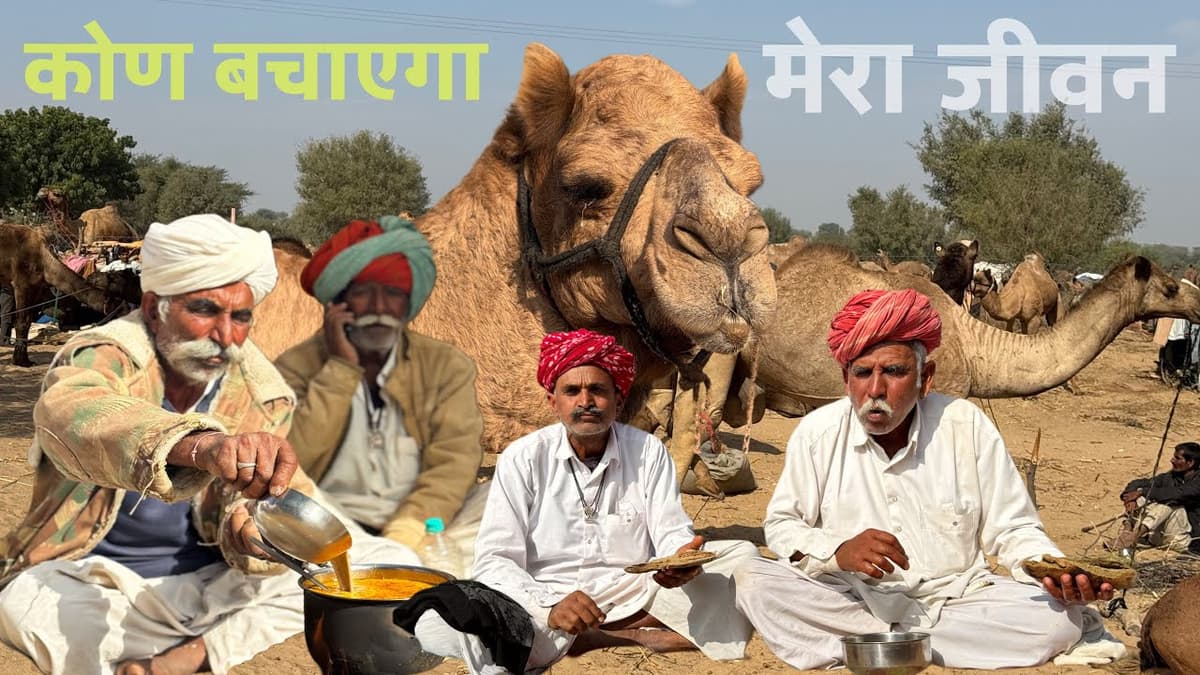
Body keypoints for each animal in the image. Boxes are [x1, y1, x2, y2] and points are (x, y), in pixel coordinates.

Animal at [0, 223, 123, 366]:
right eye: (116, 303)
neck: (45, 263)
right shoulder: (22, 283)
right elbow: (22, 322)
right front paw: (22, 361)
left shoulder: (36, 288)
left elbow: (28, 320)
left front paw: (22, 359)